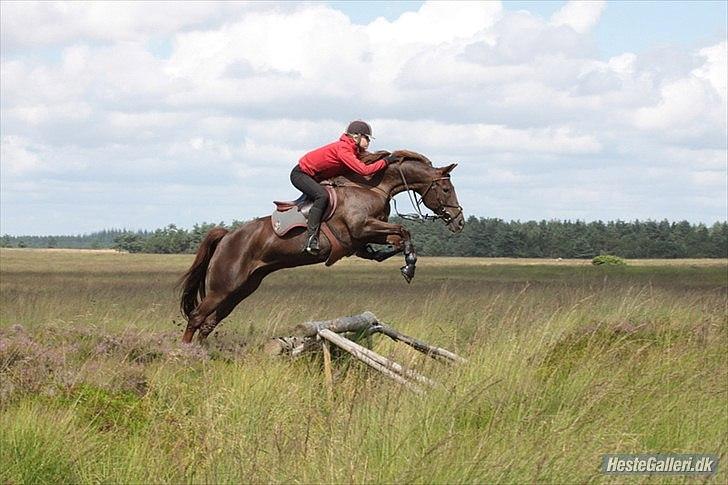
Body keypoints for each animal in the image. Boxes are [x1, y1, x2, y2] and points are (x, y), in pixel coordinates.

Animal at [178, 149, 464, 342]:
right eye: (446, 189)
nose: (459, 222)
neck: (372, 187)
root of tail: (227, 236)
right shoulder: (361, 228)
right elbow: (404, 230)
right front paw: (409, 267)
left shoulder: (364, 236)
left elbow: (398, 239)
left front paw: (402, 262)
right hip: (223, 287)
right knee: (197, 318)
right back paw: (185, 355)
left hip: (242, 288)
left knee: (209, 323)